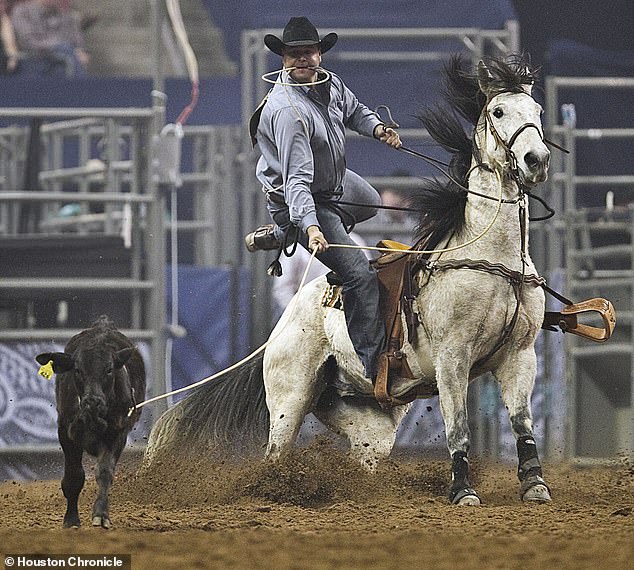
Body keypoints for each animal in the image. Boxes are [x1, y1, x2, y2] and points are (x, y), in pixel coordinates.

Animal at [35, 312, 144, 524]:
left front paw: (101, 514)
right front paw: (71, 520)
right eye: (78, 370)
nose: (92, 401)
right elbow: (74, 477)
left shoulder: (119, 431)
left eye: (109, 370)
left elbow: (105, 472)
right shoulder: (65, 430)